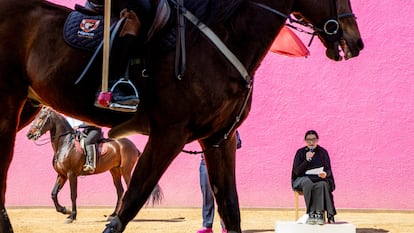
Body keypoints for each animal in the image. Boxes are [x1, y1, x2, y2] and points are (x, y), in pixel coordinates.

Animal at [25, 107, 163, 224]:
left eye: (41, 117)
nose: (29, 135)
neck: (65, 144)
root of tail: (132, 146)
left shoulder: (71, 174)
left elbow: (73, 195)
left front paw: (72, 216)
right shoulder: (62, 175)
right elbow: (53, 194)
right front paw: (64, 210)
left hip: (126, 170)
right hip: (115, 171)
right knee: (120, 191)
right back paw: (113, 215)